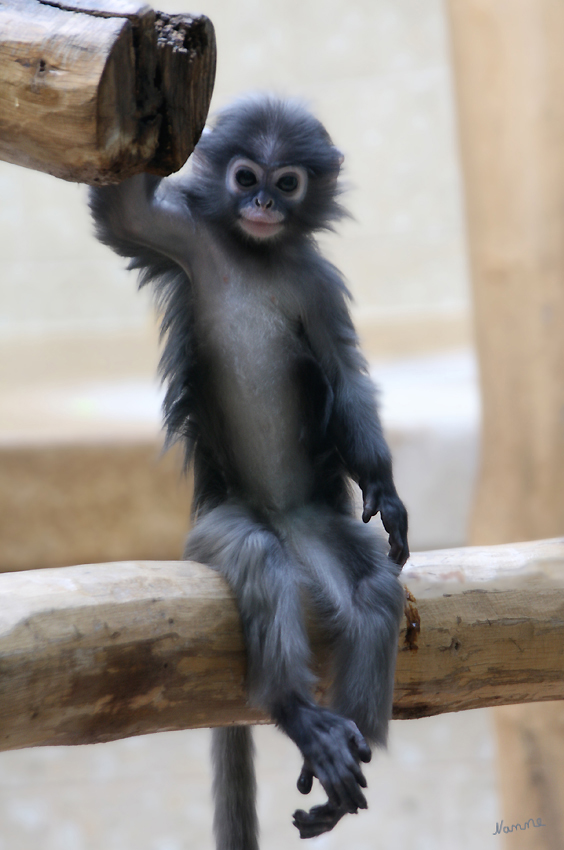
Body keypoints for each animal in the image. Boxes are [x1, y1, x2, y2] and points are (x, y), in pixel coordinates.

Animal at [88, 96, 408, 844]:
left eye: (286, 182)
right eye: (244, 176)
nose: (262, 203)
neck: (257, 254)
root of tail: (286, 525)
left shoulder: (316, 283)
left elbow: (345, 376)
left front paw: (386, 490)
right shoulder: (183, 241)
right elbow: (122, 214)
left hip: (322, 525)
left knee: (375, 592)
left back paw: (347, 743)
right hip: (223, 527)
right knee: (260, 560)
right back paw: (297, 713)